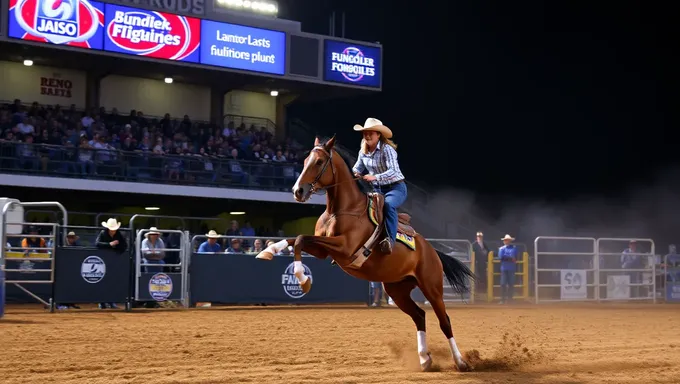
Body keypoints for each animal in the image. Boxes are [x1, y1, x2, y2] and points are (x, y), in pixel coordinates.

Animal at [254, 136, 472, 372]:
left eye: (319, 162)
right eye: (304, 161)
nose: (298, 191)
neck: (341, 210)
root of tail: (432, 251)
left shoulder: (344, 248)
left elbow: (301, 239)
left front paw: (303, 280)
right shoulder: (322, 250)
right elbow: (297, 240)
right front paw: (267, 251)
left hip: (432, 288)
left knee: (444, 321)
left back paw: (461, 362)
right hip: (397, 290)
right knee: (419, 316)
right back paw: (424, 359)